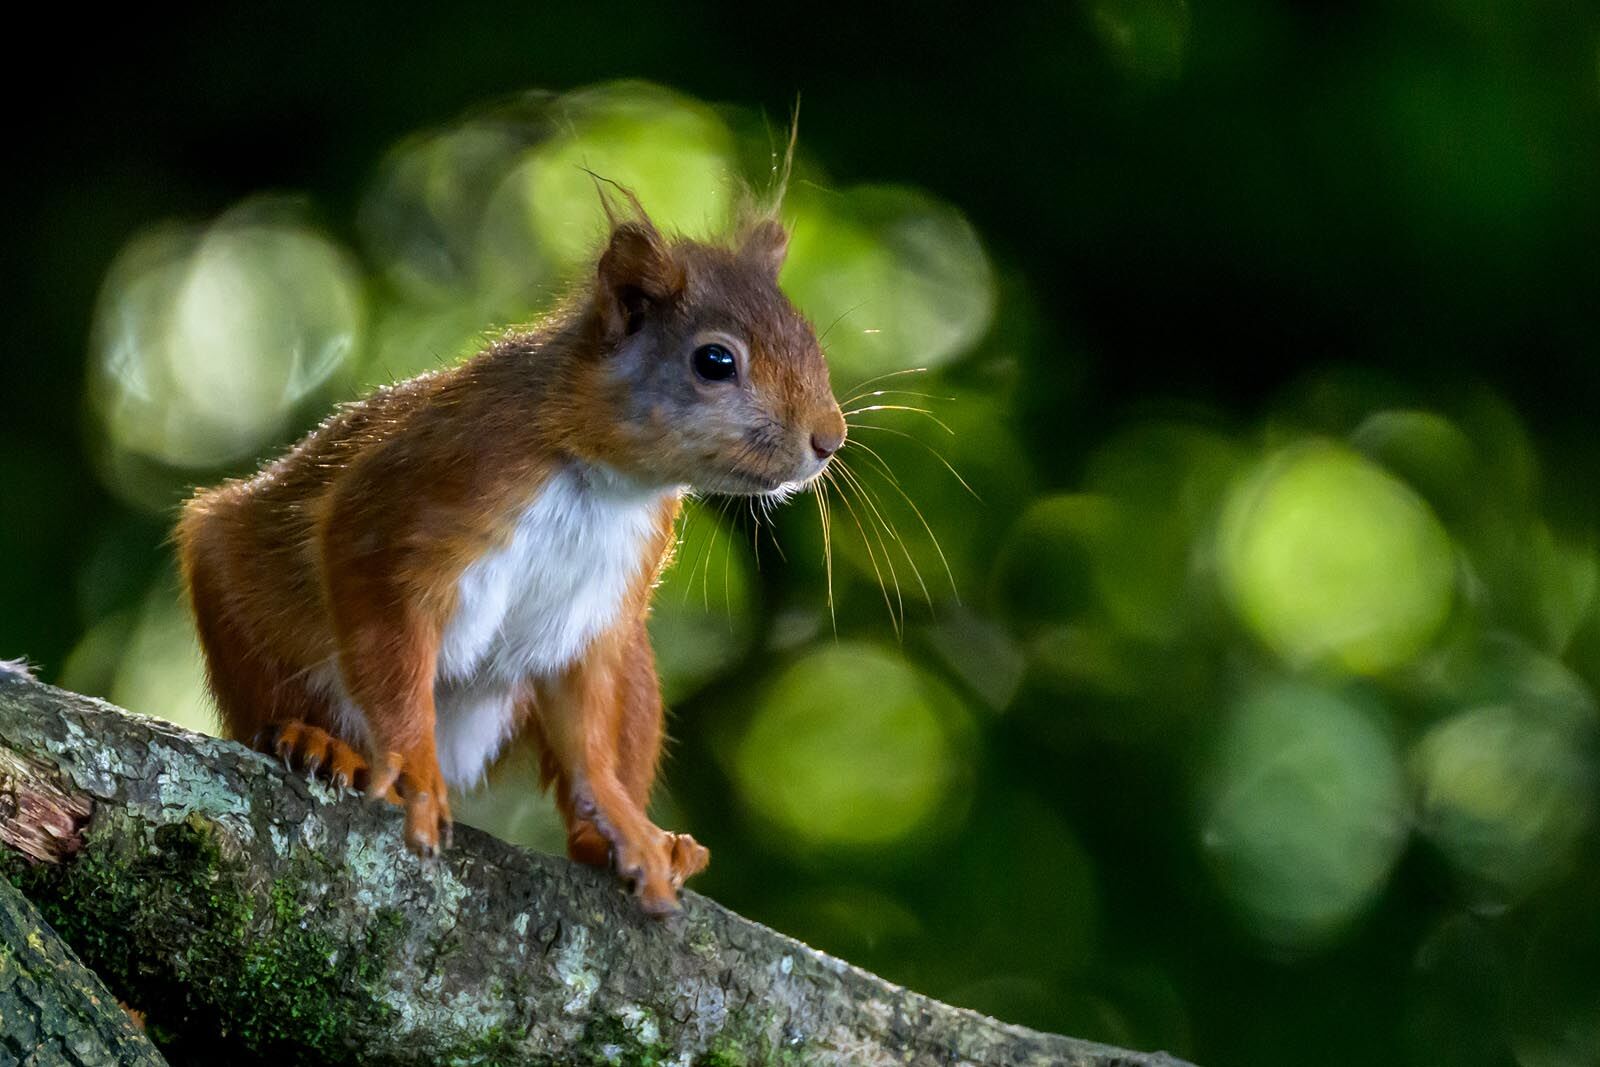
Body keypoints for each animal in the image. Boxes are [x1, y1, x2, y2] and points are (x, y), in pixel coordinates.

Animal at [174, 202, 846, 914]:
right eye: (715, 360)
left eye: (809, 336)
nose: (830, 439)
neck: (604, 479)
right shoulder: (425, 490)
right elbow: (382, 620)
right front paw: (414, 773)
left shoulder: (597, 610)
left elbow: (588, 729)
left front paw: (621, 818)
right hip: (243, 605)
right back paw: (319, 742)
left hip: (629, 662)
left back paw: (624, 842)